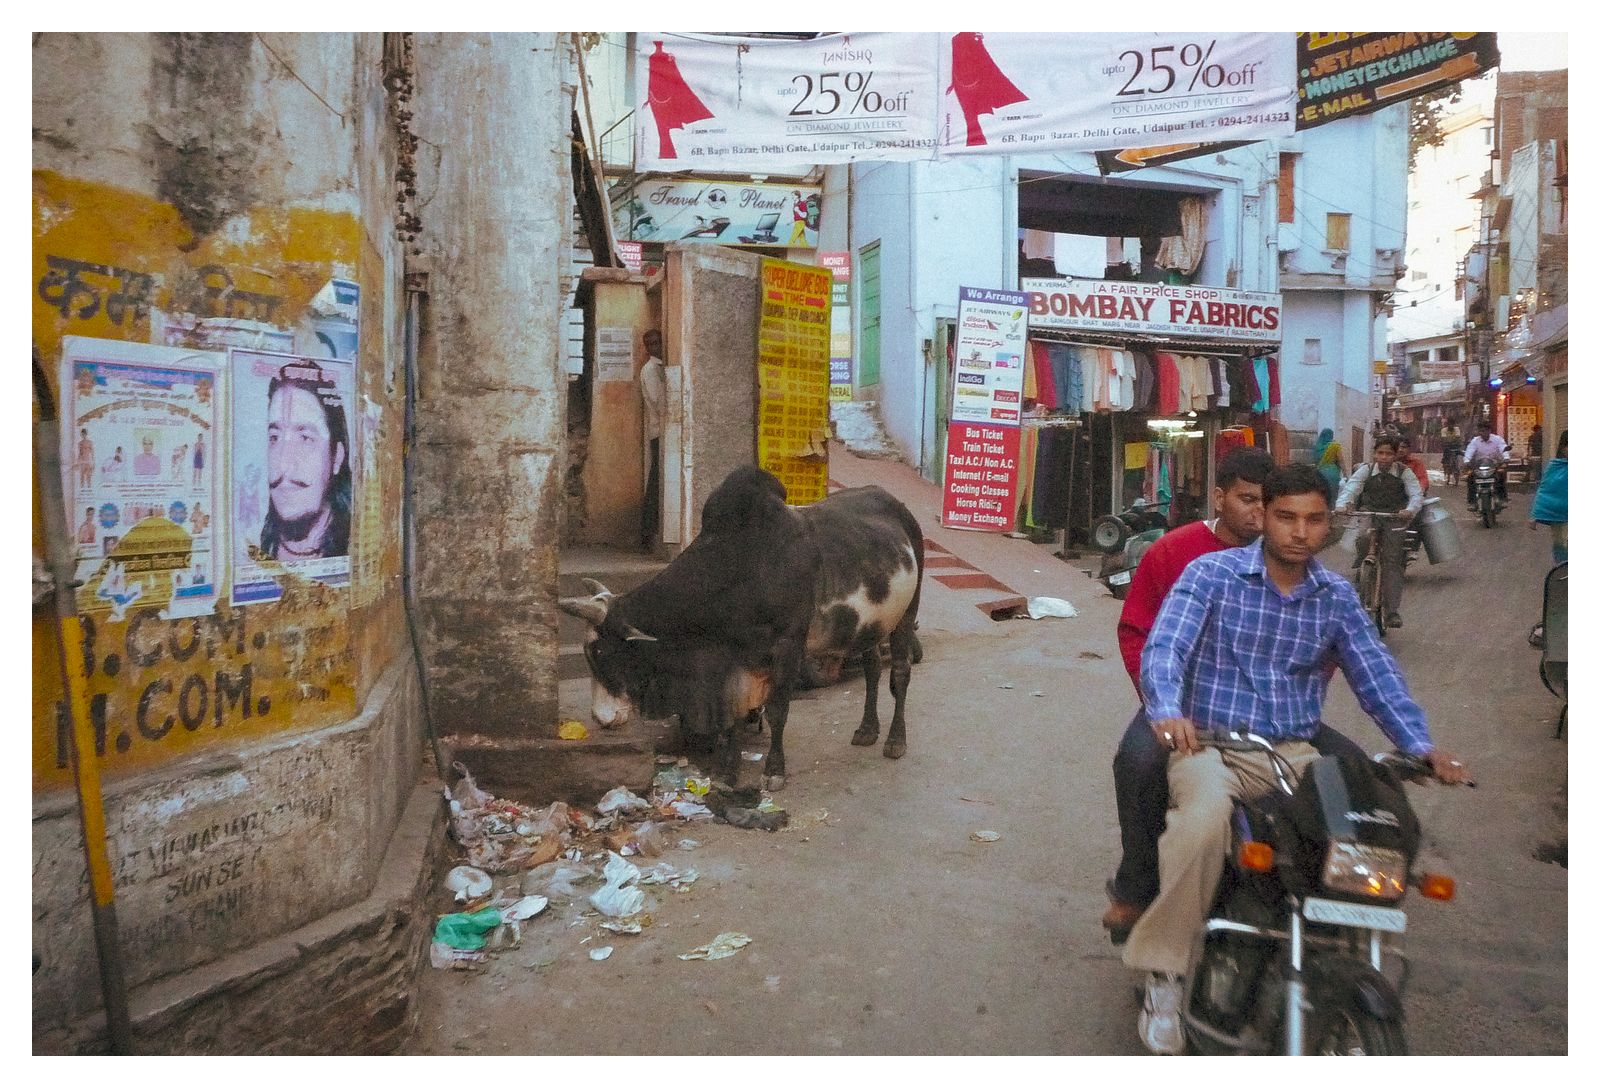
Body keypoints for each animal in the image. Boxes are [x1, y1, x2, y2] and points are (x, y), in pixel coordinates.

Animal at [558, 465, 923, 788]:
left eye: (600, 652)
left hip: (907, 612)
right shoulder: (735, 655)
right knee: (873, 668)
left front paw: (774, 771)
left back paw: (895, 740)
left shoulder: (789, 646)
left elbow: (776, 711)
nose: (600, 718)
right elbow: (734, 712)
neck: (739, 567)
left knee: (900, 672)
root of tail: (897, 505)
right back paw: (867, 730)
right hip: (871, 624)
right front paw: (727, 772)